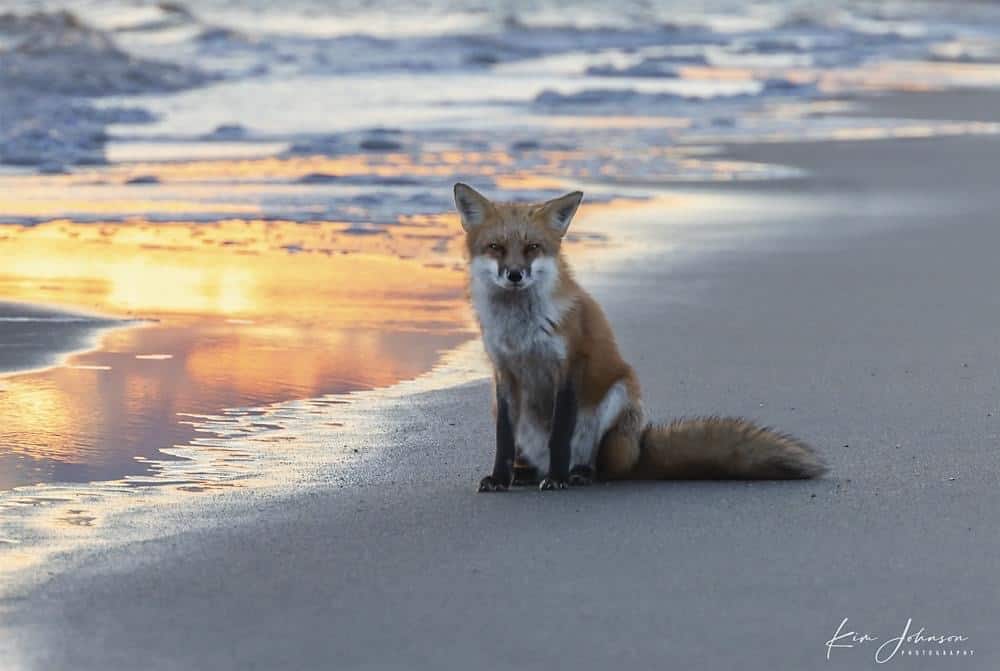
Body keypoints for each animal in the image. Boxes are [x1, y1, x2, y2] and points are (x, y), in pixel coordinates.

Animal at [454, 182, 827, 491]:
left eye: (532, 247)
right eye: (496, 247)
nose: (515, 275)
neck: (521, 328)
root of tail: (635, 452)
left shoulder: (571, 364)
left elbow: (560, 433)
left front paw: (558, 479)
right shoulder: (504, 373)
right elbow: (504, 439)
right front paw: (499, 478)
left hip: (618, 396)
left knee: (600, 466)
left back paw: (576, 474)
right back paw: (526, 473)